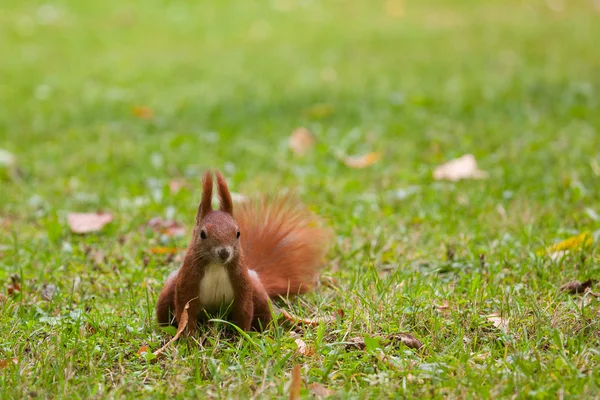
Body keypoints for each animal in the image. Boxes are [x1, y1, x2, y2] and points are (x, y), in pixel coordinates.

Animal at [155, 170, 332, 334]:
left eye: (238, 233)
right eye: (202, 234)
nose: (224, 253)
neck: (216, 266)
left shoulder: (242, 282)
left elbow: (244, 310)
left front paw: (241, 338)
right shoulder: (187, 281)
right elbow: (186, 313)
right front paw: (189, 340)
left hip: (256, 288)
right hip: (170, 286)